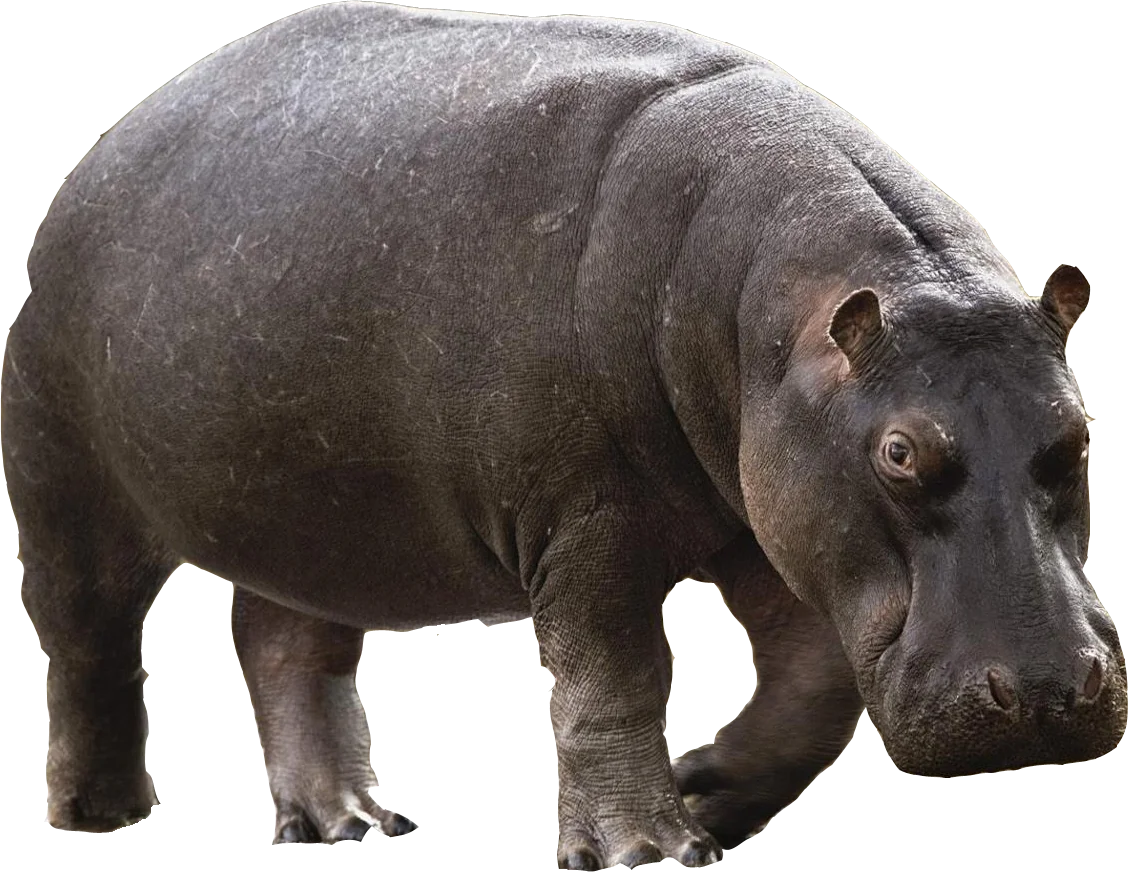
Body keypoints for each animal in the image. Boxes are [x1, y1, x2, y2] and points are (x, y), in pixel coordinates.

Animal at [4, 3, 1120, 867]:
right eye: (899, 452)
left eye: (1078, 431)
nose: (1048, 690)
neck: (777, 313)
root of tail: (116, 134)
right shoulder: (585, 522)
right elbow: (616, 679)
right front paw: (648, 848)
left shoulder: (765, 514)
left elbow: (815, 681)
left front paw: (704, 791)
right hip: (67, 481)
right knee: (88, 642)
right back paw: (101, 814)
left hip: (314, 516)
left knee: (285, 643)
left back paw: (347, 822)